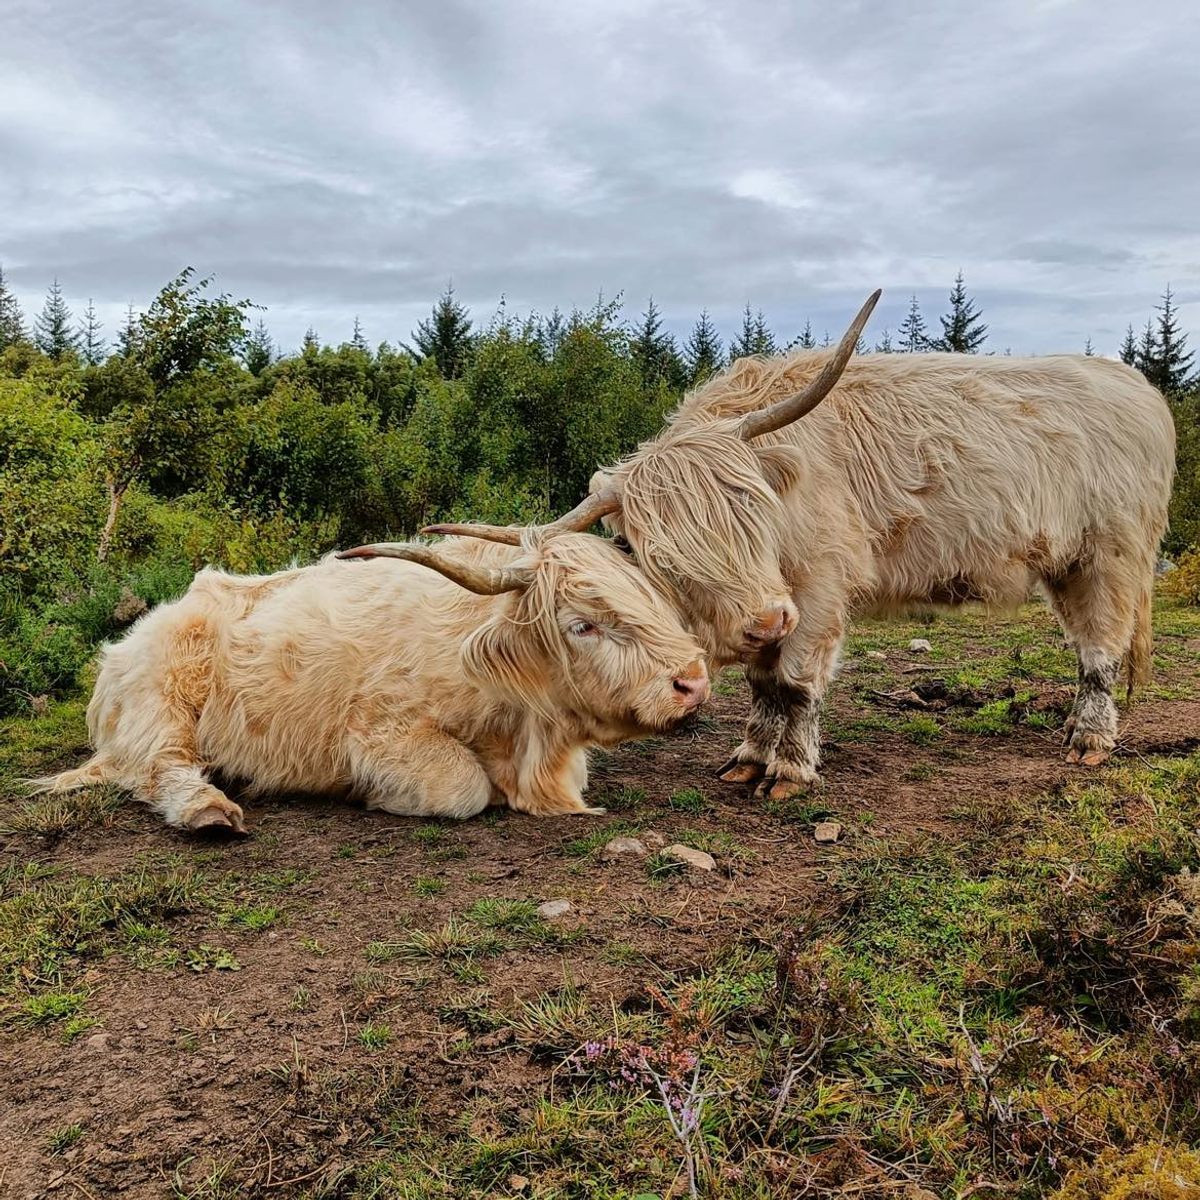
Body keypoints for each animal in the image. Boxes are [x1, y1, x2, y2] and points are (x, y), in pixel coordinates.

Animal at [35, 532, 710, 825]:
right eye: (582, 625)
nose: (693, 682)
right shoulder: (382, 733)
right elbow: (462, 788)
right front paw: (374, 795)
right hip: (164, 703)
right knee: (159, 767)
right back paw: (209, 808)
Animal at [427, 290, 1176, 796]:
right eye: (662, 558)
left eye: (753, 514)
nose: (765, 620)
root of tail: (1135, 385)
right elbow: (762, 684)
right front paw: (748, 759)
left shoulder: (816, 593)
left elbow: (795, 683)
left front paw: (789, 770)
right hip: (1068, 565)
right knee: (1087, 643)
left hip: (1113, 555)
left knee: (1101, 651)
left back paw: (1091, 739)